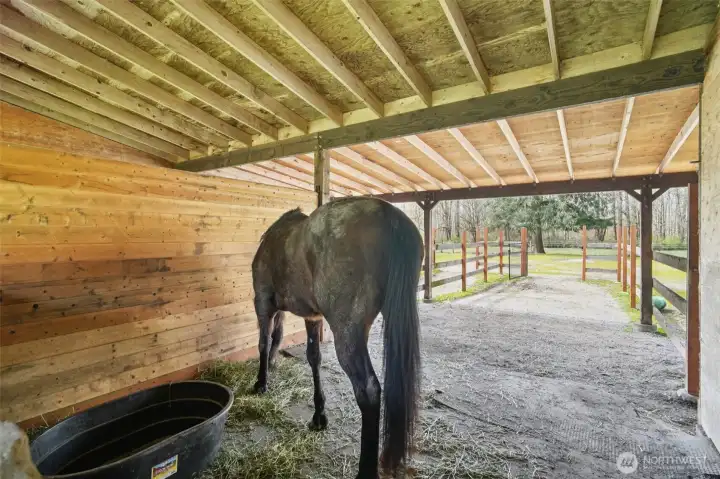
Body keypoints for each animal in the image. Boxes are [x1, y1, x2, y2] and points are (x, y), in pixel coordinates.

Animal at [251, 196, 423, 479]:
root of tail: (388, 213)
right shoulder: (312, 317)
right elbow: (313, 358)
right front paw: (319, 415)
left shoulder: (263, 303)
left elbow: (264, 343)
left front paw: (261, 383)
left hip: (347, 333)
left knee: (369, 390)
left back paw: (366, 472)